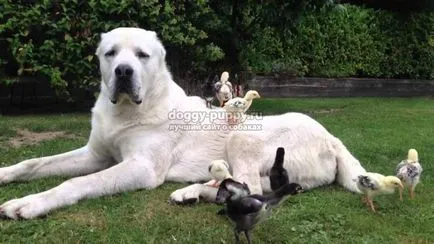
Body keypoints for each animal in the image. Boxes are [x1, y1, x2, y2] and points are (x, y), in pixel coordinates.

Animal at [0, 28, 366, 219]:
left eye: (142, 55)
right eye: (111, 53)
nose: (123, 72)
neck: (128, 110)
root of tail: (331, 137)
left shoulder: (141, 168)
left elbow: (76, 183)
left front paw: (30, 203)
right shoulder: (95, 155)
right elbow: (33, 163)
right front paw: (5, 173)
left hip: (243, 137)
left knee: (251, 187)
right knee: (249, 187)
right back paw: (194, 192)